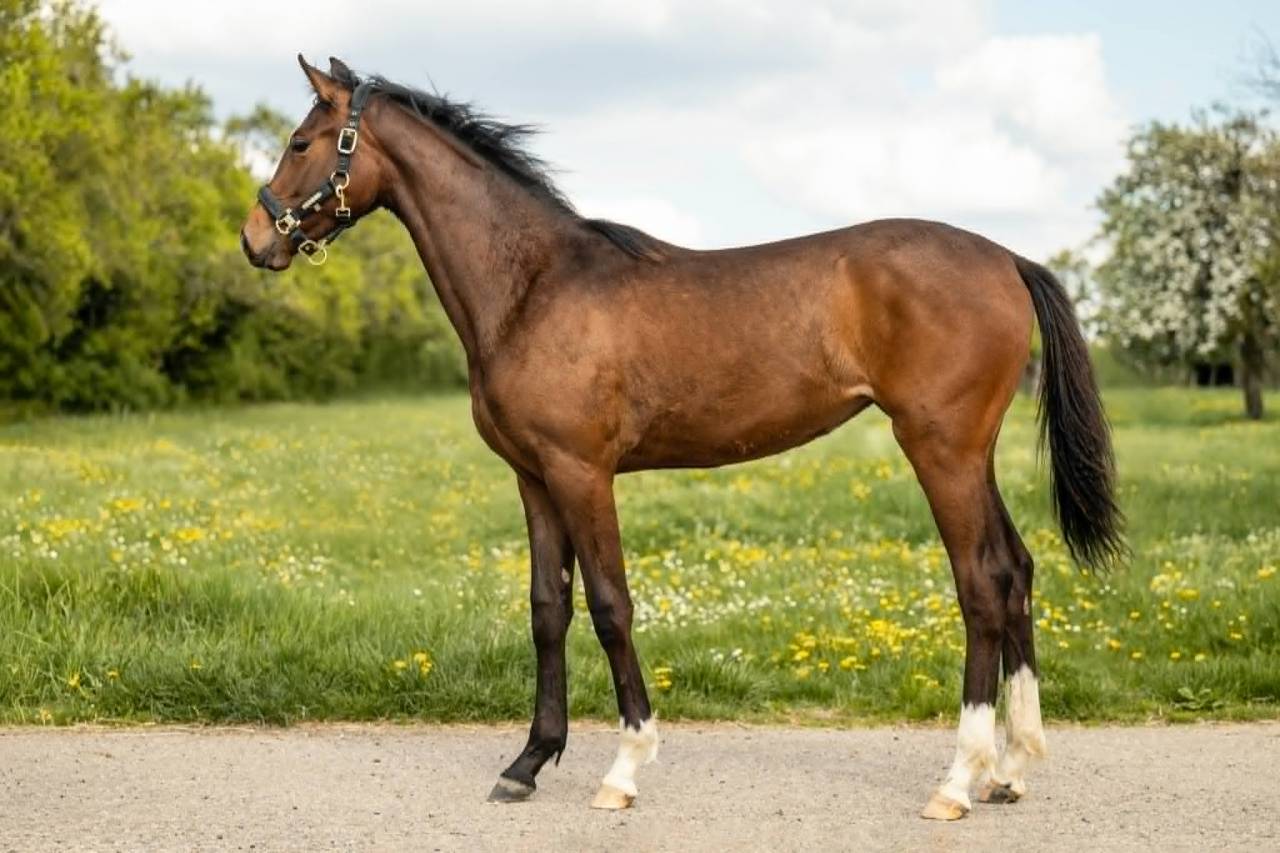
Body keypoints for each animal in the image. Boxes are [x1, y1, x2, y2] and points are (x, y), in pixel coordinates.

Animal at [240, 56, 1124, 821]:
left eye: (301, 141)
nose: (256, 238)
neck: (533, 286)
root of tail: (1006, 257)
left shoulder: (582, 472)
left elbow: (609, 606)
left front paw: (625, 765)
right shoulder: (533, 477)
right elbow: (547, 609)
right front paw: (528, 761)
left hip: (940, 450)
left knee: (980, 584)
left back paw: (958, 778)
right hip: (972, 456)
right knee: (1016, 571)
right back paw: (1011, 768)